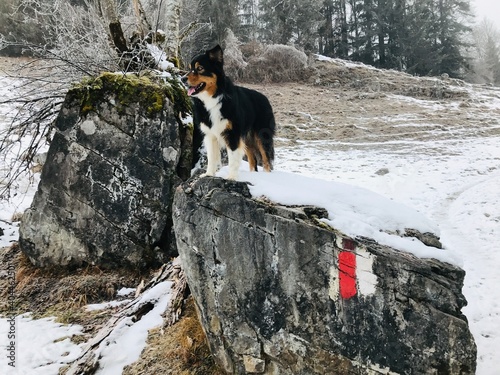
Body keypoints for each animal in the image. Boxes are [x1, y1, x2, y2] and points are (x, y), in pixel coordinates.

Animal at [182, 44, 276, 180]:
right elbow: (211, 157)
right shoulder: (210, 134)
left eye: (200, 68)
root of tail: (265, 98)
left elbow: (232, 158)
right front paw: (209, 174)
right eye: (189, 68)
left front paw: (231, 177)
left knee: (266, 158)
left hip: (262, 135)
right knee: (252, 159)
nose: (182, 79)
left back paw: (268, 177)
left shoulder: (232, 134)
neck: (213, 98)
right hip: (247, 137)